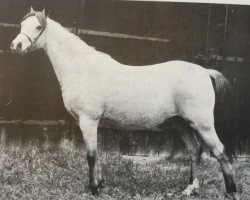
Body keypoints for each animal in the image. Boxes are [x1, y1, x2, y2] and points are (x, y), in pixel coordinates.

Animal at [10, 7, 236, 198]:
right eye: (22, 25)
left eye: (38, 27)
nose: (15, 46)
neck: (83, 68)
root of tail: (205, 71)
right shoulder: (93, 123)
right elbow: (97, 153)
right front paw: (100, 184)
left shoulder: (88, 120)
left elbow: (91, 155)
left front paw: (94, 189)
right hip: (182, 124)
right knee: (194, 151)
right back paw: (190, 189)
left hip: (202, 124)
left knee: (220, 151)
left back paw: (231, 191)